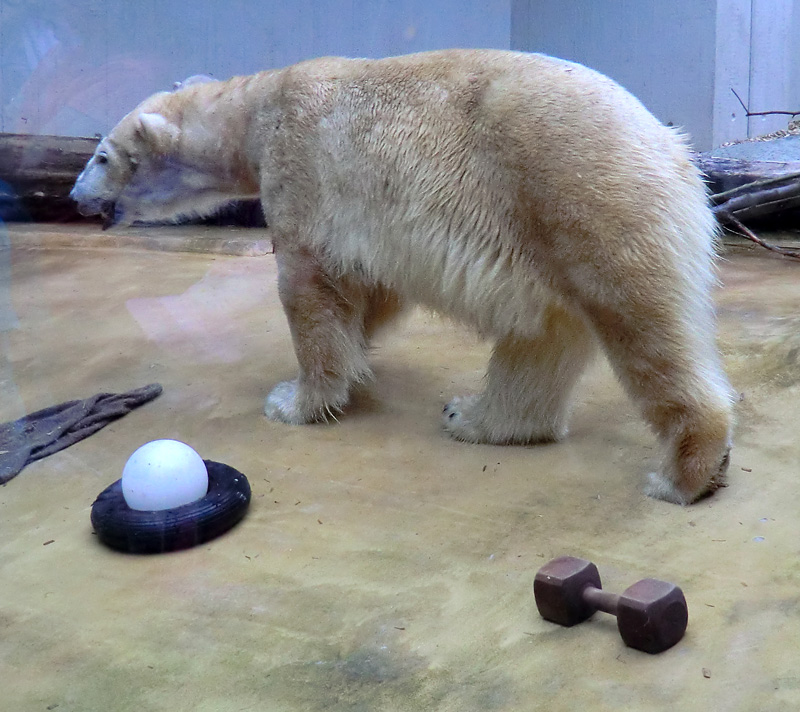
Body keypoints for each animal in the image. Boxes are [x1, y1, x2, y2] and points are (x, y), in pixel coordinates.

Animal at [72, 50, 736, 504]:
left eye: (103, 156)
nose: (77, 196)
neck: (259, 109)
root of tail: (674, 148)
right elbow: (371, 289)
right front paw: (357, 354)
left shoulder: (303, 166)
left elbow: (309, 288)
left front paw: (295, 399)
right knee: (544, 335)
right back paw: (475, 417)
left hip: (585, 193)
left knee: (639, 321)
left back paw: (683, 473)